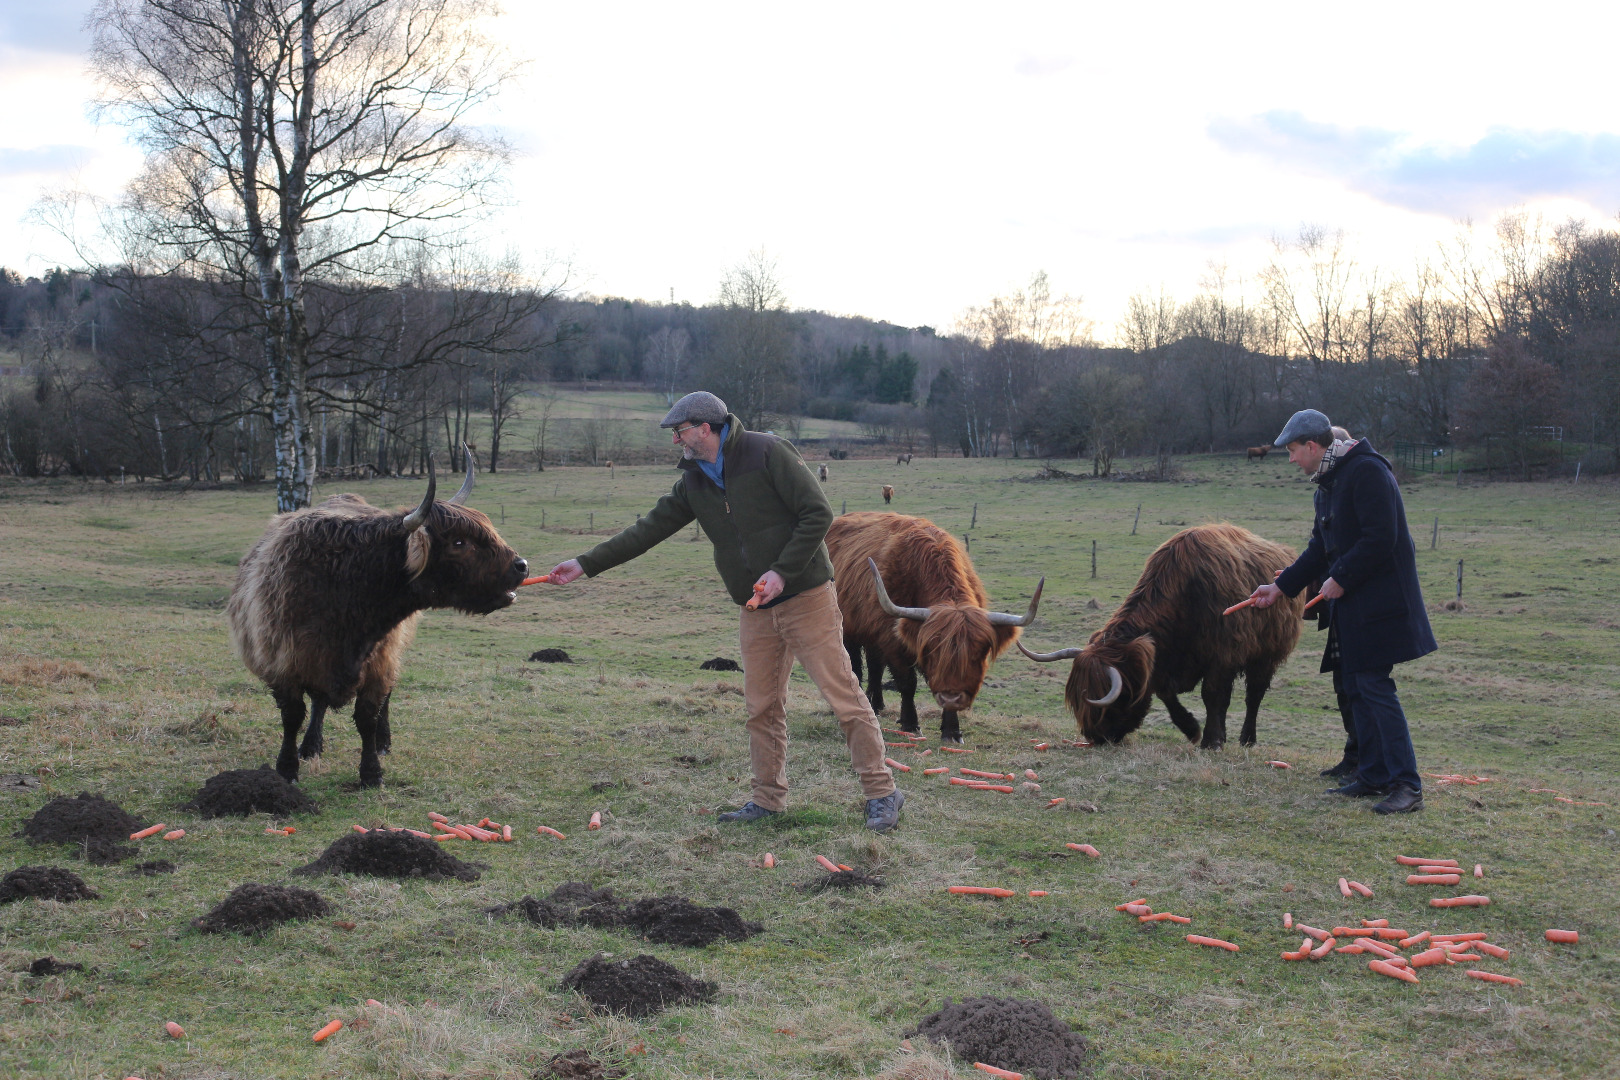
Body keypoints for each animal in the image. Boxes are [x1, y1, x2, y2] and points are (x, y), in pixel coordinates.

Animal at [228, 453, 528, 790]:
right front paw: (287, 768)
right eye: (460, 542)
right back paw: (311, 745)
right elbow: (293, 716)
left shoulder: (379, 663)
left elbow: (368, 717)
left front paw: (371, 771)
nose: (522, 566)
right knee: (318, 702)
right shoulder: (283, 663)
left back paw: (382, 742)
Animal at [829, 514, 1043, 744]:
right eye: (932, 649)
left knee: (875, 666)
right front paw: (911, 724)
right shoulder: (893, 643)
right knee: (854, 667)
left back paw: (876, 705)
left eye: (977, 653)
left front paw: (952, 731)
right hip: (848, 630)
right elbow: (907, 683)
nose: (951, 696)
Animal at [1017, 524, 1308, 751]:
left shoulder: (1222, 655)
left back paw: (1247, 739)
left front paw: (1210, 741)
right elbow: (1167, 693)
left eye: (1109, 703)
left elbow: (1213, 695)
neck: (1185, 596)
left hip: (1267, 655)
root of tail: (1285, 552)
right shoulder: (1162, 661)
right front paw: (1193, 729)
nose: (1096, 737)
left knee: (1254, 696)